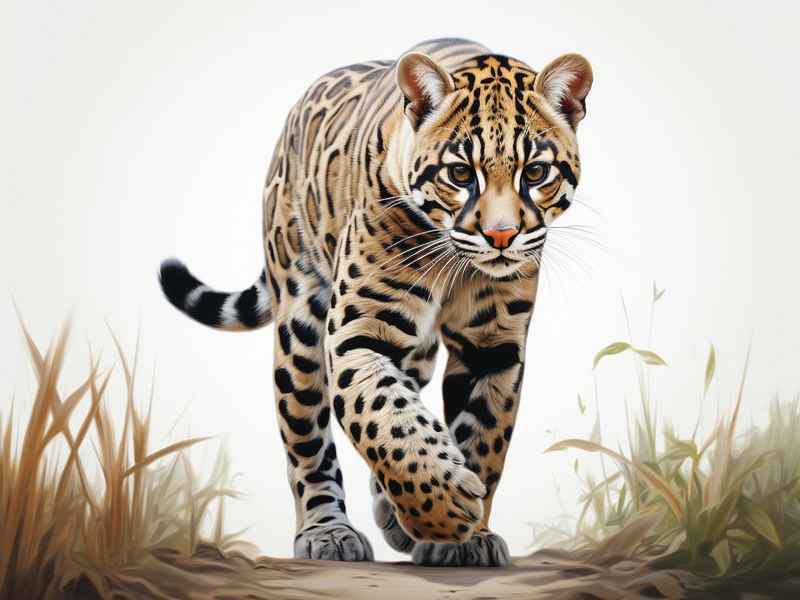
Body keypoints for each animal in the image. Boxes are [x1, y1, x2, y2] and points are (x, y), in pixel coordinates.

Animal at [159, 38, 592, 567]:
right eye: (459, 173)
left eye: (535, 172)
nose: (501, 237)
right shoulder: (357, 332)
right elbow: (382, 418)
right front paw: (443, 512)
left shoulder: (493, 347)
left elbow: (484, 437)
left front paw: (466, 536)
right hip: (299, 324)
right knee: (307, 439)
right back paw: (327, 532)